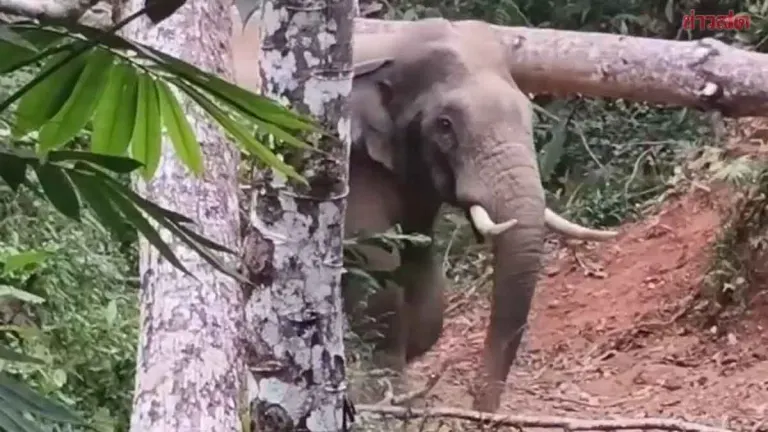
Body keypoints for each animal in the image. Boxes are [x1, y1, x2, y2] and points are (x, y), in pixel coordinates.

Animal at [230, 13, 619, 412]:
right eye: (445, 125)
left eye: (528, 114)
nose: (481, 409)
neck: (389, 49)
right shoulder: (345, 169)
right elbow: (379, 274)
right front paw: (385, 398)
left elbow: (425, 285)